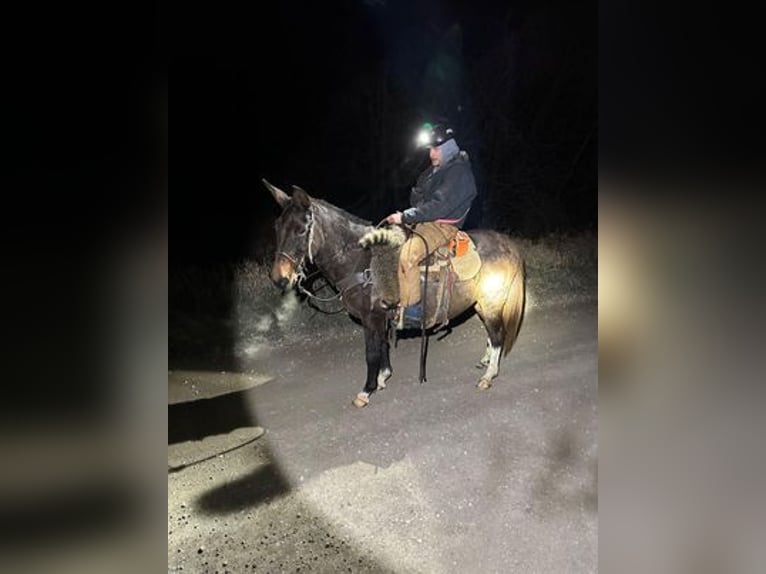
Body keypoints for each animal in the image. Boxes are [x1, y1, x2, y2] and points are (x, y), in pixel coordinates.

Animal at [260, 180, 524, 410]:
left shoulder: (371, 317)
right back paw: (485, 361)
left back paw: (488, 376)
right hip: (481, 303)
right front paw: (382, 378)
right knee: (491, 333)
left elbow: (372, 352)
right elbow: (384, 346)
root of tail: (508, 244)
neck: (361, 261)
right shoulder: (382, 316)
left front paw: (366, 391)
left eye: (301, 230)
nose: (279, 277)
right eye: (277, 227)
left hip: (491, 301)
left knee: (497, 334)